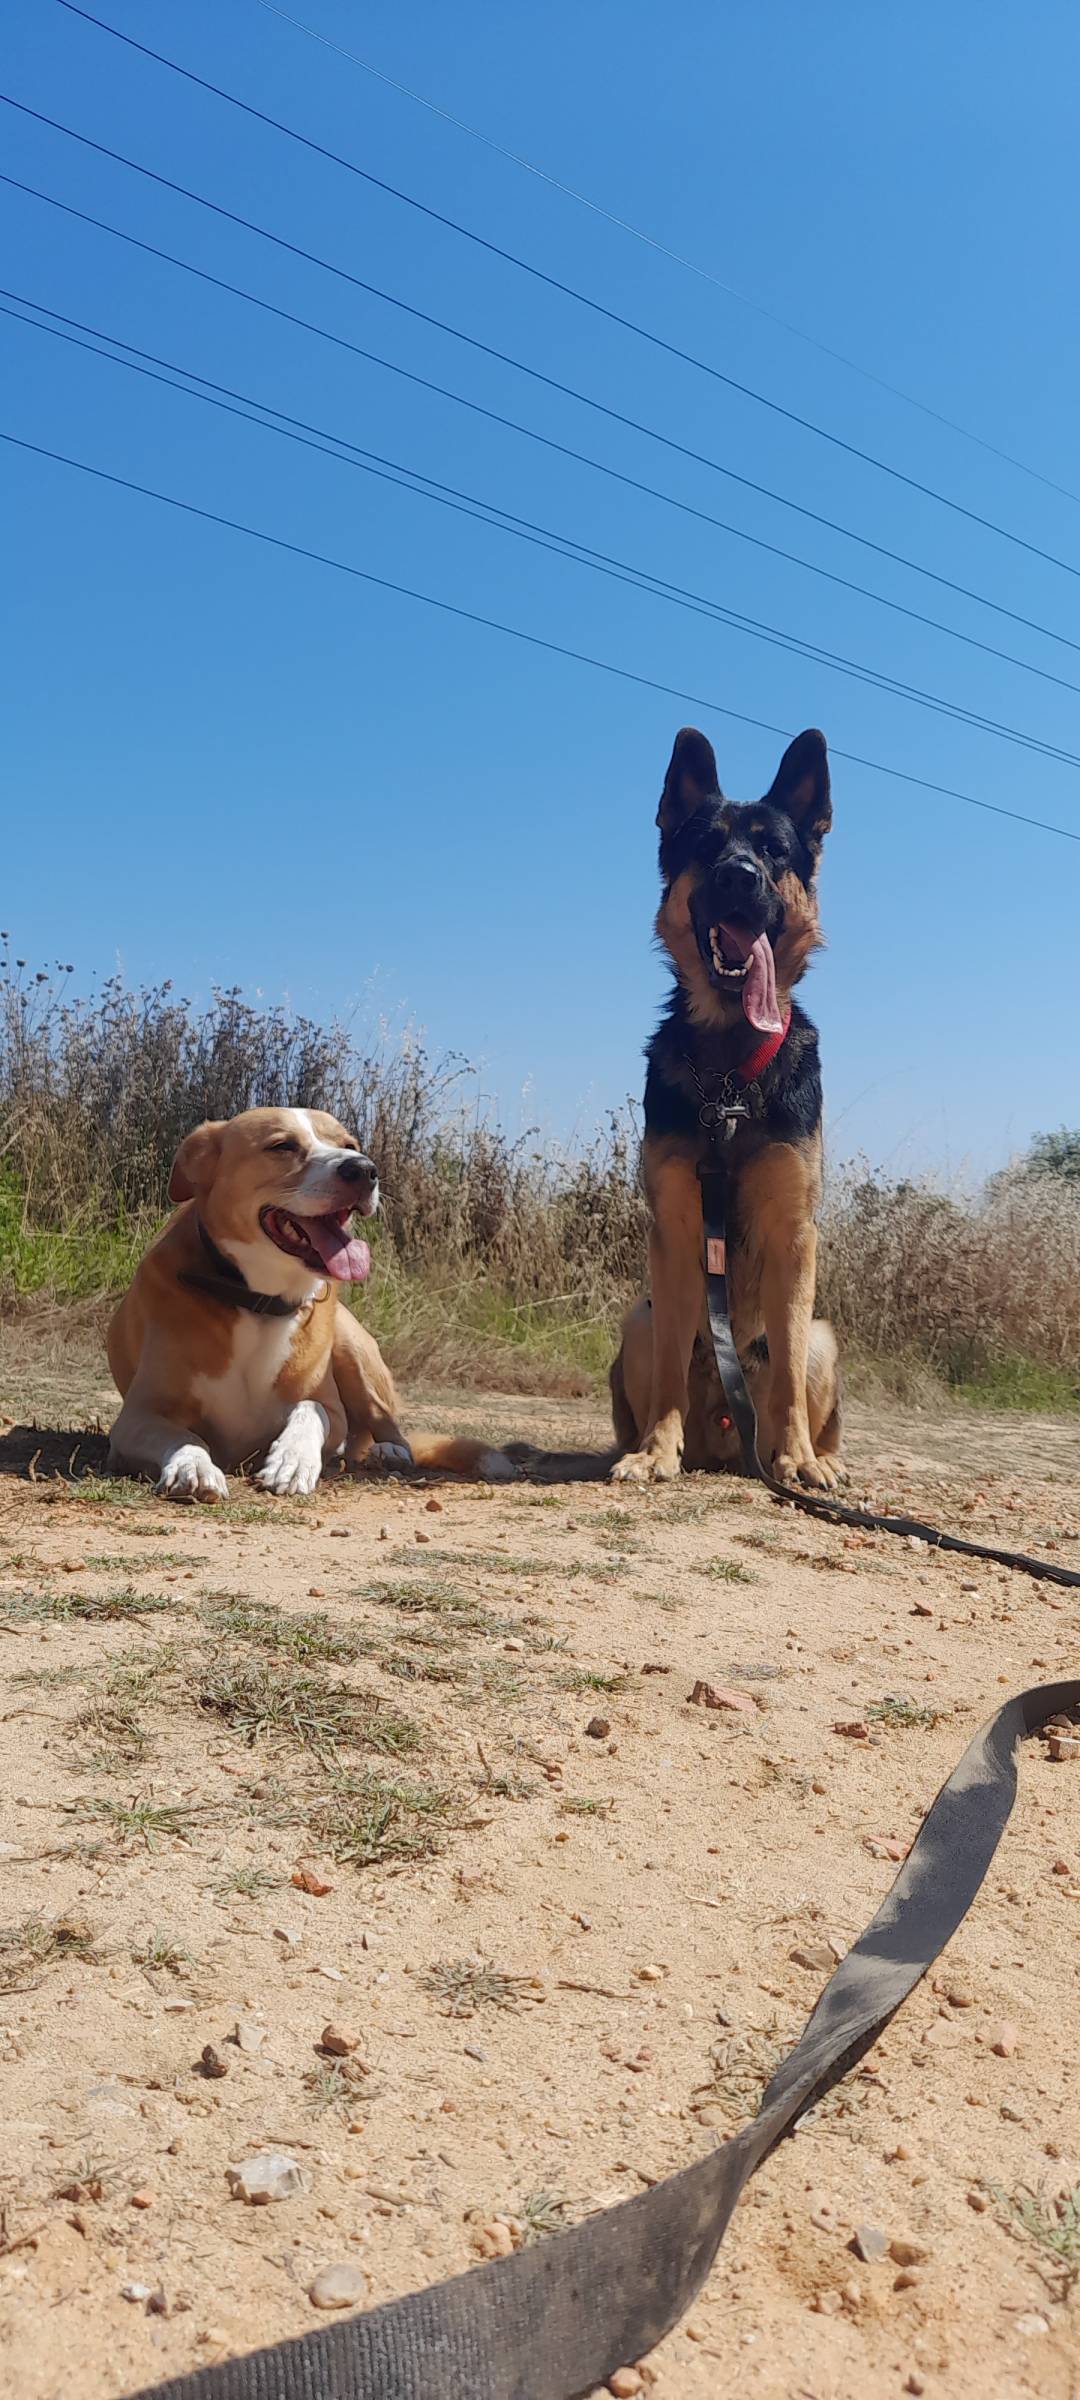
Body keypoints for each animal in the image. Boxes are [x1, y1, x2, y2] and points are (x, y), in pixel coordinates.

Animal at [107, 1104, 513, 1497]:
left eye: (349, 1144)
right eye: (282, 1145)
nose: (364, 1169)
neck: (258, 1301)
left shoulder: (331, 1411)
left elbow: (311, 1408)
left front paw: (292, 1461)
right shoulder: (136, 1417)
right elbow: (183, 1436)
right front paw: (192, 1465)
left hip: (352, 1347)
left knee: (382, 1420)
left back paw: (390, 1449)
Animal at [607, 720, 844, 1488]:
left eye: (773, 851)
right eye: (707, 846)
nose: (739, 876)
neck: (732, 1079)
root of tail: (725, 1436)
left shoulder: (797, 1237)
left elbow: (790, 1367)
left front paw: (799, 1459)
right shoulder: (677, 1228)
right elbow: (670, 1369)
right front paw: (655, 1451)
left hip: (826, 1335)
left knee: (801, 1377)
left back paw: (808, 1457)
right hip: (640, 1318)